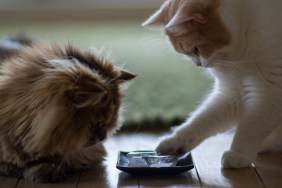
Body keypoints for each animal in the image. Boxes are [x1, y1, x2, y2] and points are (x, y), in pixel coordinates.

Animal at [143, 0, 282, 167]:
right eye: (187, 53)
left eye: (196, 49)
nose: (198, 65)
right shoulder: (231, 94)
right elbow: (201, 121)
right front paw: (174, 141)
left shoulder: (269, 91)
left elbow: (250, 127)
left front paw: (238, 154)